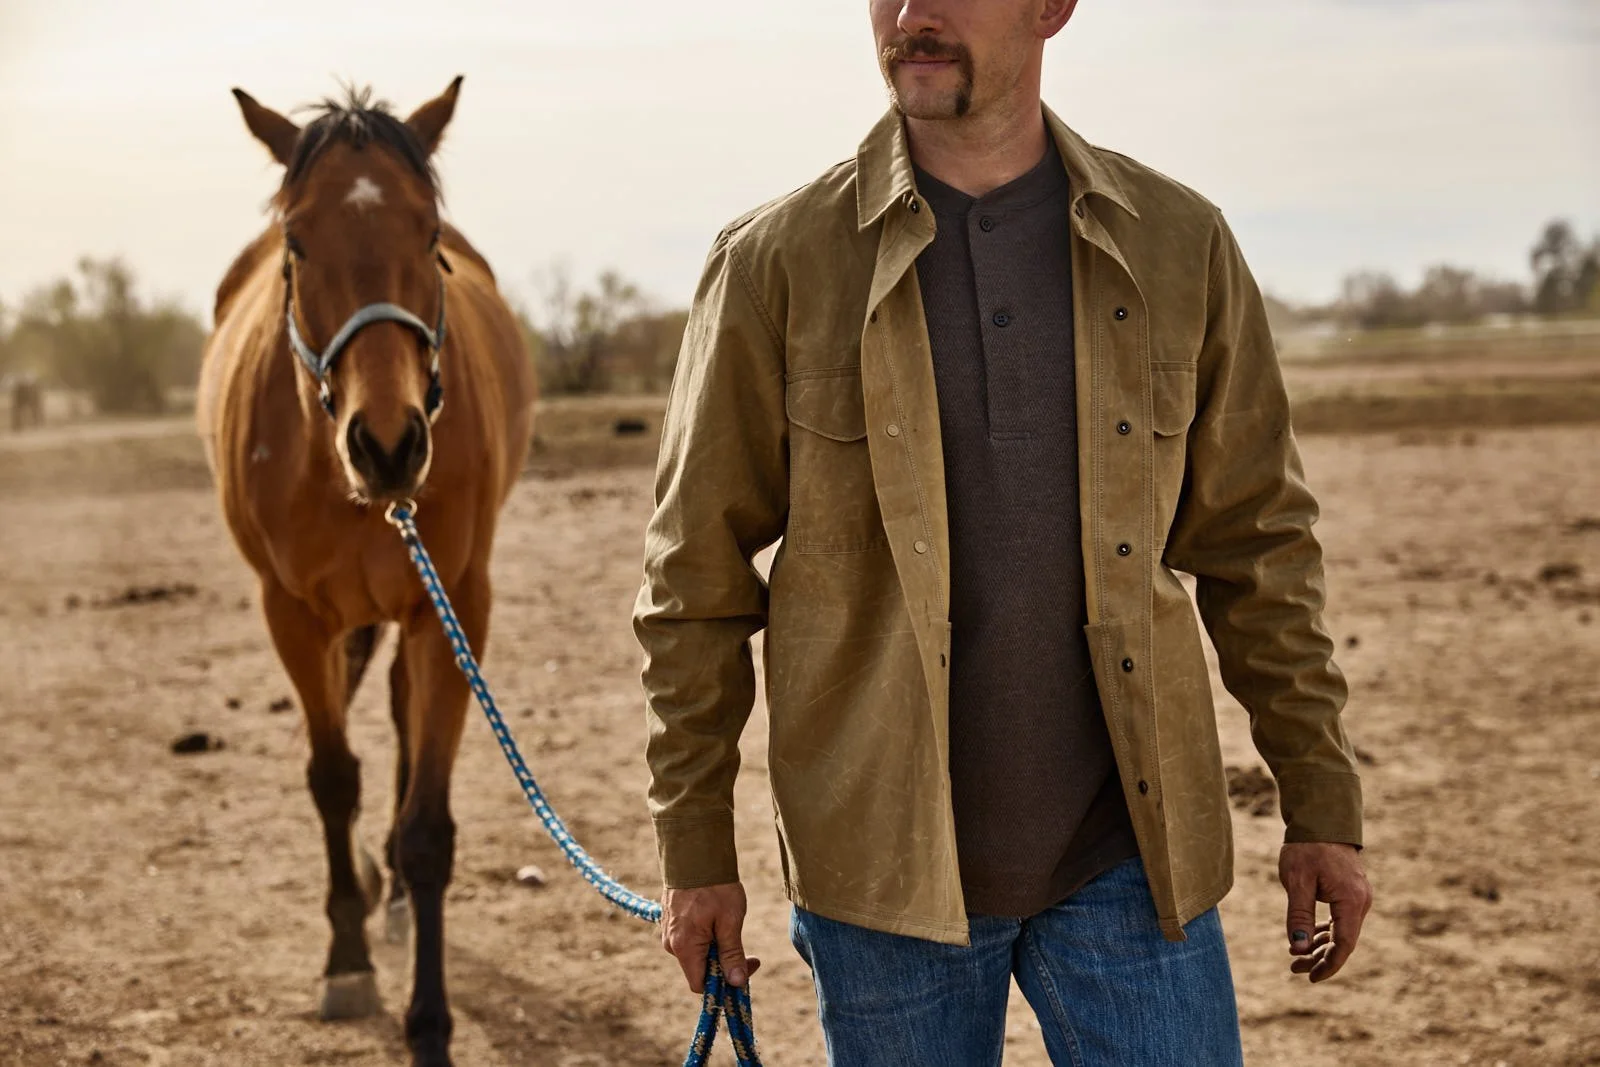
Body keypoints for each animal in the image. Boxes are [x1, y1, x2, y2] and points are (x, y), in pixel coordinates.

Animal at [196, 78, 537, 1066]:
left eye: (429, 234)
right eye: (298, 241)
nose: (388, 444)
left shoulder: (454, 607)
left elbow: (427, 828)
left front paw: (429, 1021)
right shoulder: (289, 611)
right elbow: (330, 776)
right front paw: (345, 960)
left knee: (394, 713)